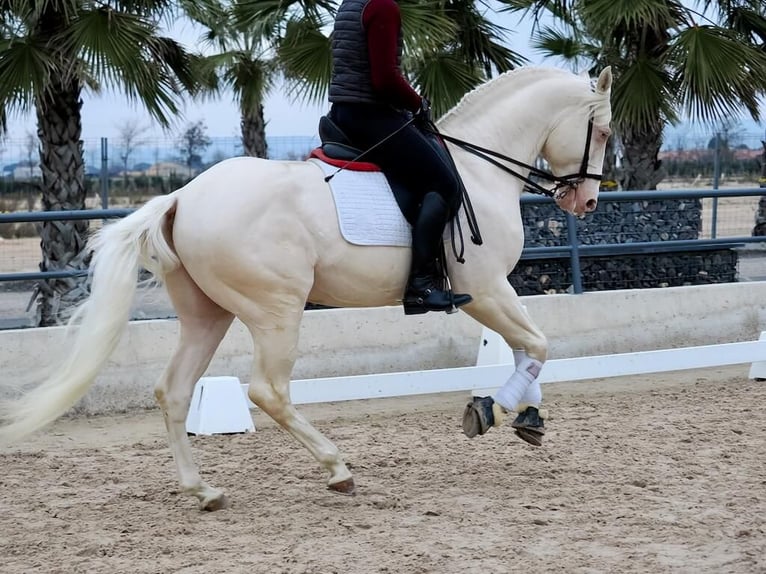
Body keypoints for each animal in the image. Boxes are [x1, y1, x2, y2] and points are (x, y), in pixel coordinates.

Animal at [0, 65, 612, 510]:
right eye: (603, 131)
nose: (585, 203)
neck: (478, 170)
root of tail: (181, 197)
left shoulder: (492, 293)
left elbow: (528, 347)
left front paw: (527, 414)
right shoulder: (484, 289)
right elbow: (537, 344)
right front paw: (497, 410)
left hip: (207, 315)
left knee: (174, 391)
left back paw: (204, 491)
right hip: (277, 310)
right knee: (268, 391)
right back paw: (337, 470)